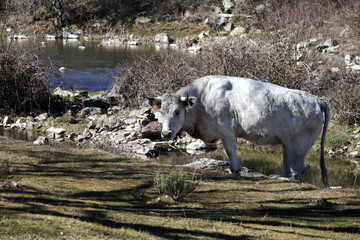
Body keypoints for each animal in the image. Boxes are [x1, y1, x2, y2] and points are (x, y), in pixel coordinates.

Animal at [148, 76, 330, 187]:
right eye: (160, 111)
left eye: (177, 112)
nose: (166, 134)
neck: (202, 99)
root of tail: (316, 99)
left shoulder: (226, 130)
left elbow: (230, 150)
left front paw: (235, 169)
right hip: (288, 146)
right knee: (289, 168)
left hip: (298, 146)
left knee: (296, 169)